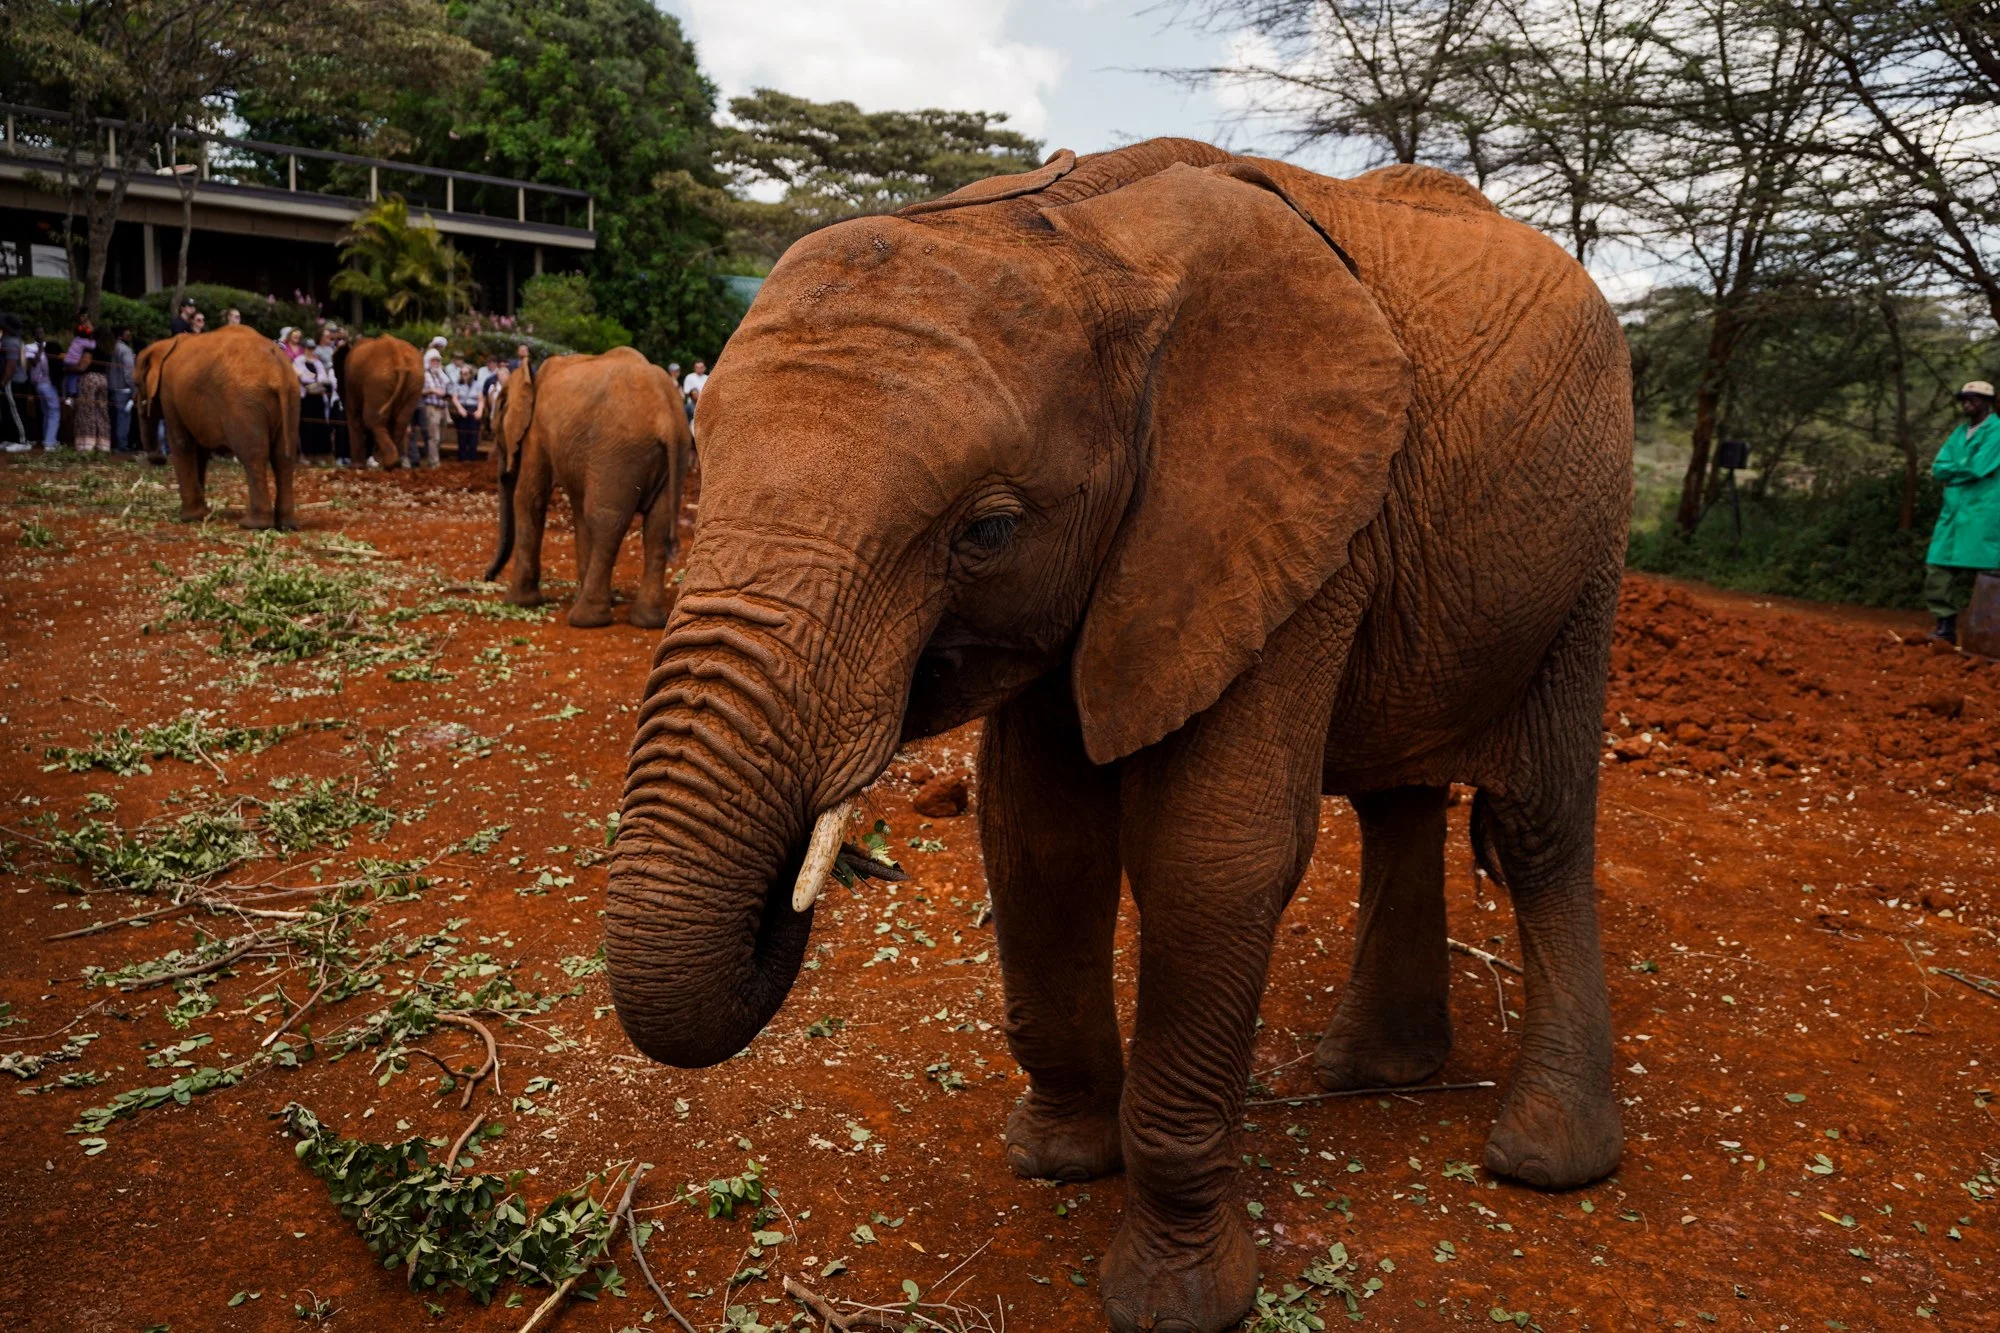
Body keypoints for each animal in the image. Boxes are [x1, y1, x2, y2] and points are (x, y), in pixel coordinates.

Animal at [138, 325, 301, 529]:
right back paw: (286, 525)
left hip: (244, 405)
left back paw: (252, 525)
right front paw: (202, 514)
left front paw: (190, 517)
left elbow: (182, 443)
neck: (164, 344)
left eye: (136, 384)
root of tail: (278, 371)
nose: (159, 459)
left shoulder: (169, 393)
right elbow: (200, 451)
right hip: (291, 399)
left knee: (253, 456)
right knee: (283, 458)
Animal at [333, 334, 421, 468]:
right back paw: (393, 463)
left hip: (377, 381)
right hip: (413, 381)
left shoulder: (351, 385)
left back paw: (387, 463)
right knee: (400, 421)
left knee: (372, 419)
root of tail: (398, 355)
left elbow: (355, 418)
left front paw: (357, 466)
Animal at [481, 347, 692, 629]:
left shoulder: (537, 432)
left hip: (616, 454)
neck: (529, 375)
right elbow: (578, 511)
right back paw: (648, 621)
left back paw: (586, 619)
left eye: (494, 431)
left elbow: (529, 498)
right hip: (673, 453)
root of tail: (666, 418)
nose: (487, 576)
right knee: (656, 526)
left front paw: (517, 602)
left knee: (605, 522)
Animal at [602, 139, 1632, 1333]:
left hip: (1588, 541)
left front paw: (1173, 1300)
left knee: (1534, 824)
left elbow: (1212, 858)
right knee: (1396, 800)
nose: (811, 879)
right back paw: (1370, 1074)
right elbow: (1039, 838)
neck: (1076, 230)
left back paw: (1542, 1158)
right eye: (701, 468)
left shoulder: (1280, 523)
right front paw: (1056, 1159)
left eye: (987, 531)